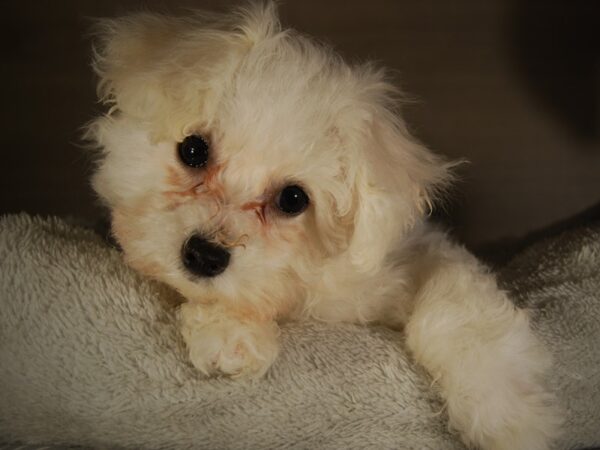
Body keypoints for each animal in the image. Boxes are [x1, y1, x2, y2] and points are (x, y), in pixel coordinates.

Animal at [86, 4, 560, 450]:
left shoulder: (424, 253)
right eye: (193, 150)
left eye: (293, 199)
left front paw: (508, 418)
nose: (204, 255)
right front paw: (229, 335)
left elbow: (454, 308)